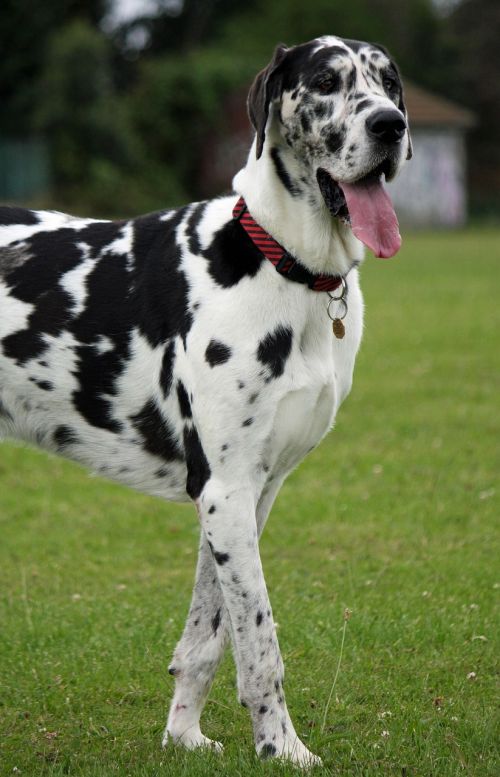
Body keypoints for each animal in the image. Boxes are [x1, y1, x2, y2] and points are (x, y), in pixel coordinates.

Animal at [0, 34, 410, 764]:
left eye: (389, 82)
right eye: (326, 82)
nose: (391, 125)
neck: (285, 265)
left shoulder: (249, 493)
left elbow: (210, 636)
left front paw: (184, 735)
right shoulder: (224, 489)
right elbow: (261, 642)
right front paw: (282, 748)